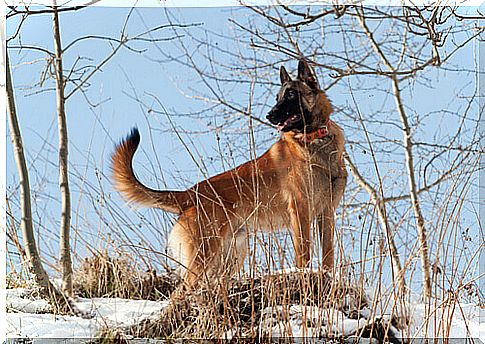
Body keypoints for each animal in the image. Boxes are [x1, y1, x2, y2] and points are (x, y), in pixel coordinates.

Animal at [111, 58, 346, 292]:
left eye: (290, 95)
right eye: (277, 97)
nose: (269, 115)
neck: (315, 140)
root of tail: (188, 194)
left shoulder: (326, 213)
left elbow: (328, 253)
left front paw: (328, 277)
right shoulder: (300, 211)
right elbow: (304, 253)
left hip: (229, 258)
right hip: (204, 256)